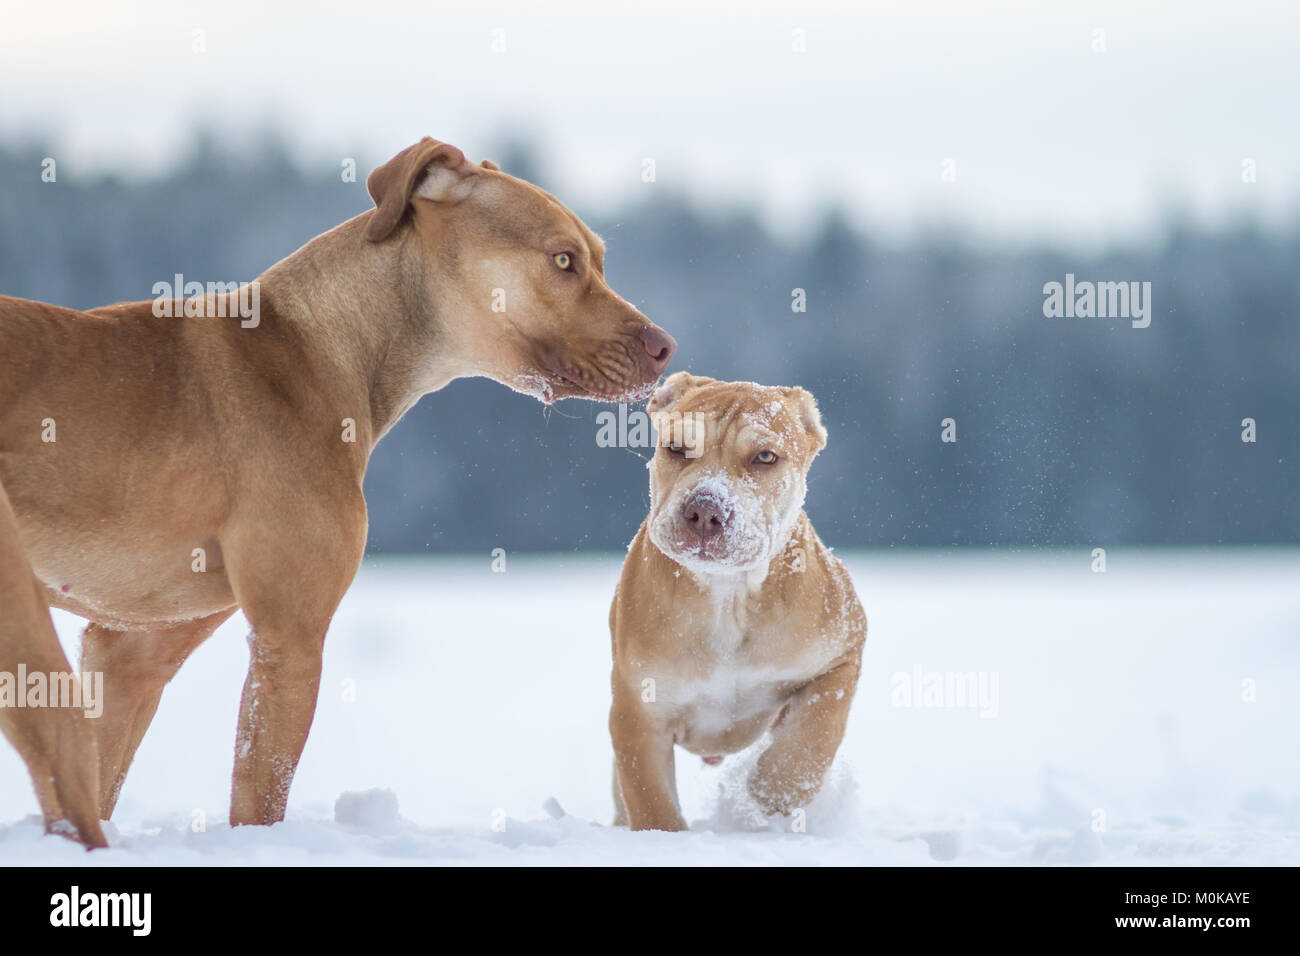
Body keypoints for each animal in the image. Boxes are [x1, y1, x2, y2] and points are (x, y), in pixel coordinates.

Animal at [0, 136, 670, 842]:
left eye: (597, 259)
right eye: (563, 260)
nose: (665, 347)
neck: (319, 346)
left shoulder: (132, 651)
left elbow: (104, 773)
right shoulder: (291, 637)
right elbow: (260, 796)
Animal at [605, 371, 863, 832]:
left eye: (765, 456)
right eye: (676, 447)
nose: (705, 509)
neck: (728, 597)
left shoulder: (843, 654)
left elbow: (813, 736)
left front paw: (771, 793)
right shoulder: (639, 710)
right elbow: (650, 797)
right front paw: (665, 837)